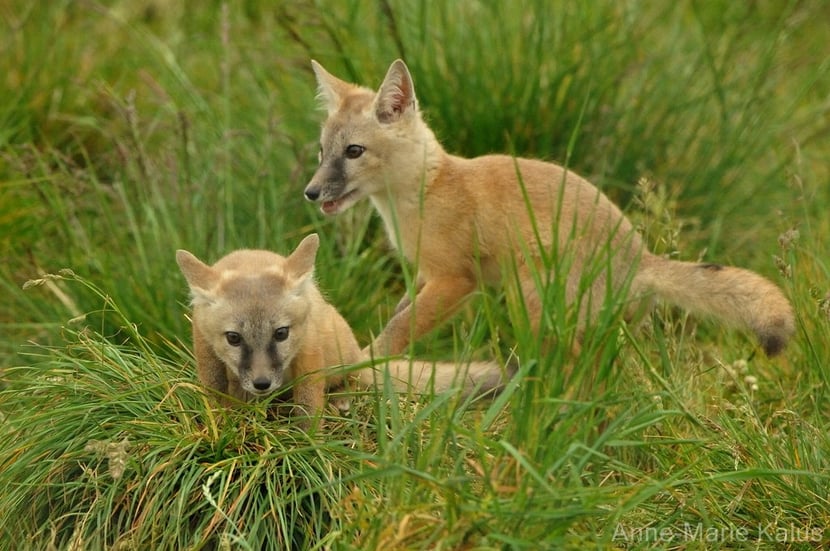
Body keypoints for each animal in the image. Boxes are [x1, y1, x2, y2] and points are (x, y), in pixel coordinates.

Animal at [176, 234, 505, 426]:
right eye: (233, 338)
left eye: (281, 333)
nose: (262, 384)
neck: (250, 260)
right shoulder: (205, 347)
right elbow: (214, 392)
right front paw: (220, 424)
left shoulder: (308, 355)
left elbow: (308, 410)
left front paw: (306, 447)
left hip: (342, 359)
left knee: (353, 382)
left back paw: (341, 398)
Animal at [303, 59, 795, 359]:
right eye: (322, 151)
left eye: (353, 152)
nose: (310, 192)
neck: (430, 189)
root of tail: (642, 259)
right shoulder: (424, 275)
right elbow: (396, 317)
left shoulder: (456, 280)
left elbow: (399, 331)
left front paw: (362, 368)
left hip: (530, 301)